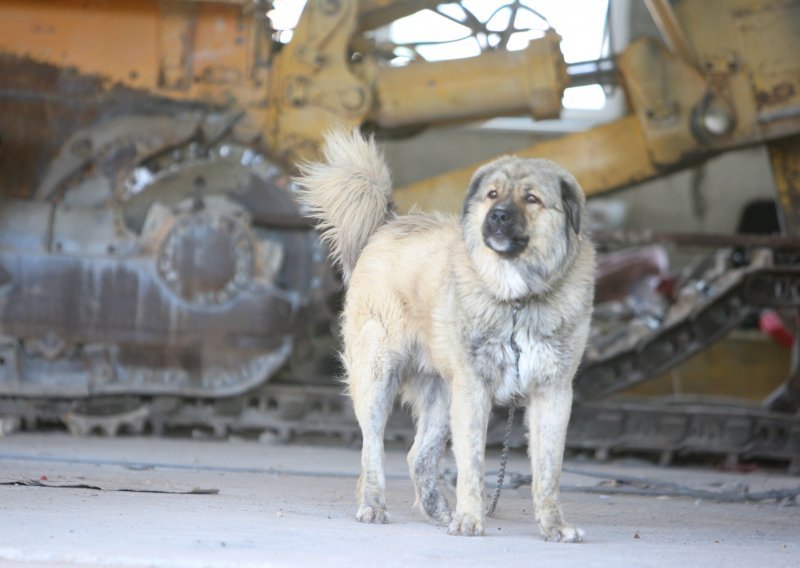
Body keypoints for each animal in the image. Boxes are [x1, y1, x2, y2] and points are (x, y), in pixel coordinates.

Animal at [294, 129, 592, 540]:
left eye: (531, 198)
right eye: (492, 194)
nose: (497, 217)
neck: (516, 300)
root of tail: (388, 225)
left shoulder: (553, 391)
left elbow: (548, 471)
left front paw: (554, 526)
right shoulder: (473, 389)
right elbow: (471, 465)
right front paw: (470, 519)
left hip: (440, 393)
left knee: (417, 455)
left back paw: (437, 511)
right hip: (377, 378)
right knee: (372, 447)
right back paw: (374, 505)